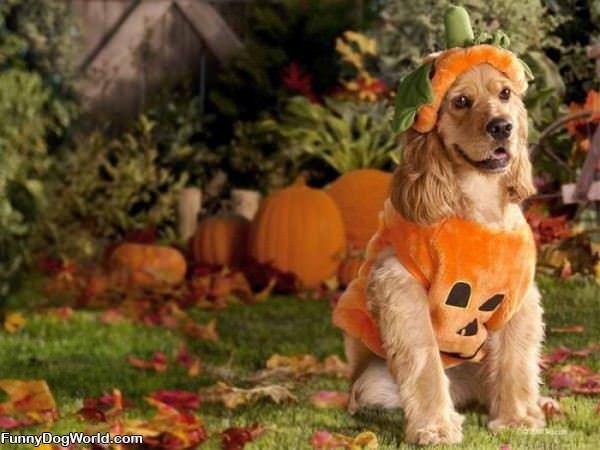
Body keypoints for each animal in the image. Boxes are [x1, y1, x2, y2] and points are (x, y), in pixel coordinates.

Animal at [342, 61, 544, 444]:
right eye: (461, 102)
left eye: (505, 94)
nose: (502, 127)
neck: (479, 207)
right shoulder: (400, 287)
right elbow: (424, 361)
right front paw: (434, 427)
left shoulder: (519, 296)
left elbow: (516, 360)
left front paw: (518, 418)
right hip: (373, 382)